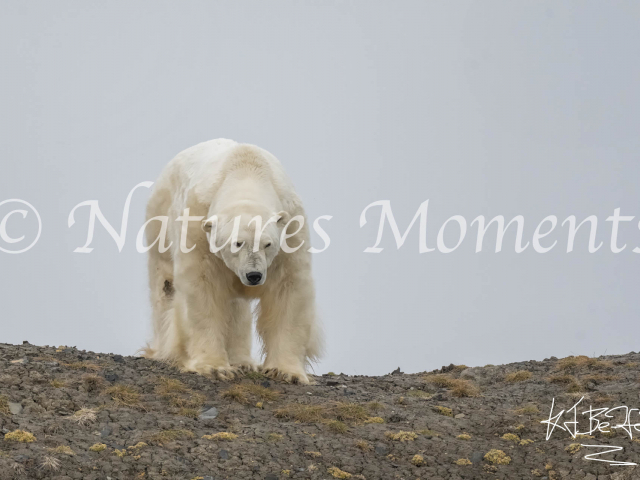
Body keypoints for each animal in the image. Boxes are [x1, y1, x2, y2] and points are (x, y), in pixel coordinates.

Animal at [146, 138, 324, 382]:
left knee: (237, 307)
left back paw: (243, 361)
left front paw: (285, 371)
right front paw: (213, 367)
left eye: (267, 244)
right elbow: (203, 288)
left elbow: (288, 289)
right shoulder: (197, 228)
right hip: (159, 223)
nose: (254, 275)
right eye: (237, 243)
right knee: (165, 286)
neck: (245, 171)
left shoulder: (291, 228)